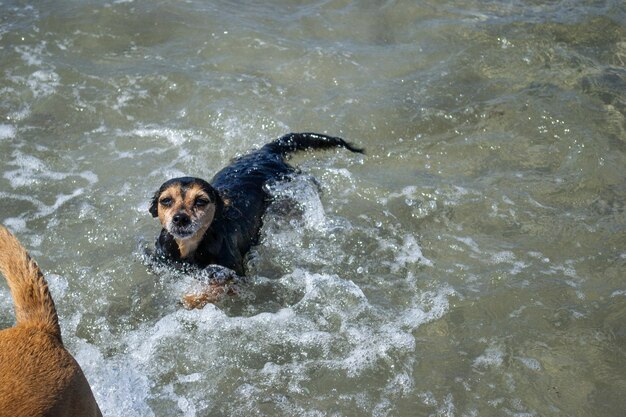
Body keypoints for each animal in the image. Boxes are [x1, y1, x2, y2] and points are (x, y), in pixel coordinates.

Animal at [148, 132, 360, 282]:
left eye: (201, 201)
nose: (180, 218)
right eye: (166, 201)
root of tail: (265, 153)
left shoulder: (231, 271)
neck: (190, 248)